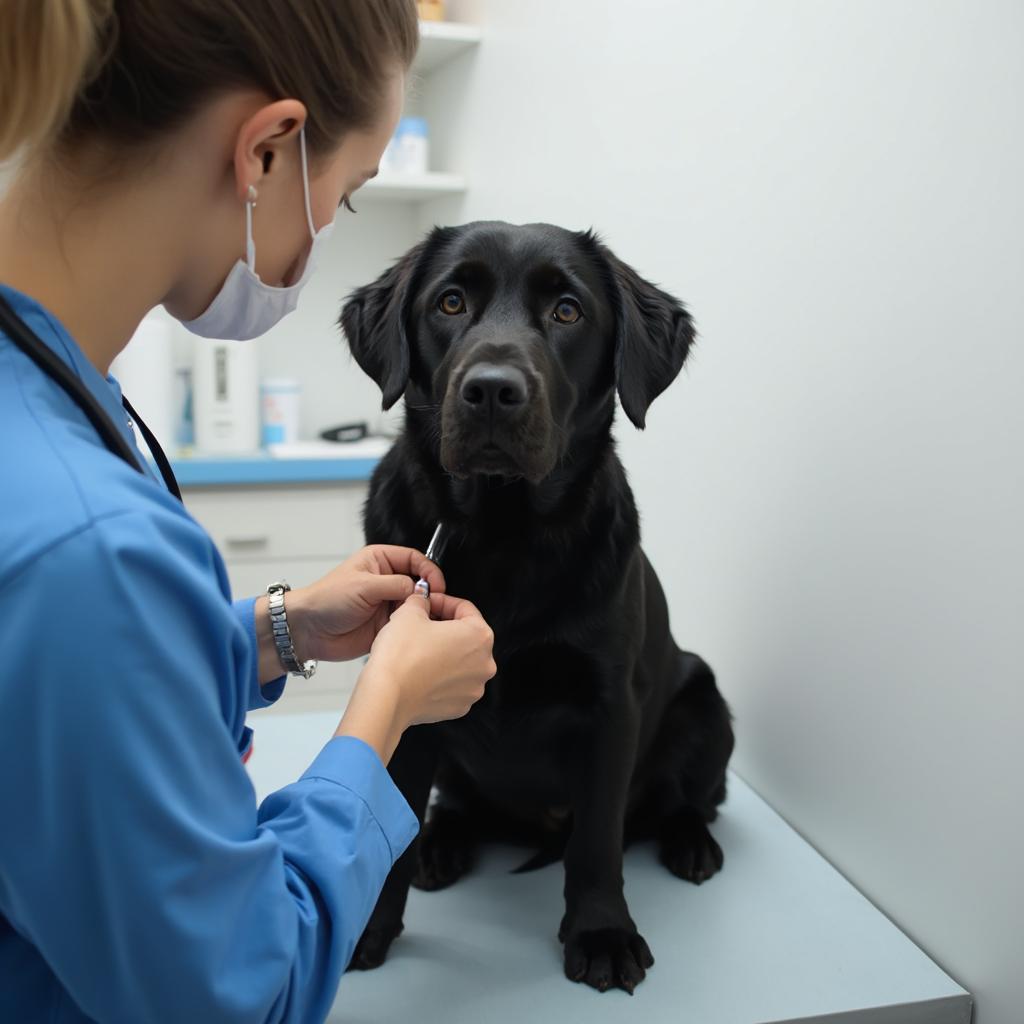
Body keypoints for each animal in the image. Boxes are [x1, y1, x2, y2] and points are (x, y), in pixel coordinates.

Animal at [339, 218, 733, 991]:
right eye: (451, 301)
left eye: (568, 311)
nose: (492, 391)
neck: (505, 533)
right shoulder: (407, 699)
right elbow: (389, 820)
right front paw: (369, 926)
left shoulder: (611, 705)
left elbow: (598, 839)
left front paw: (602, 932)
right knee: (456, 807)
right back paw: (441, 845)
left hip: (707, 705)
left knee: (681, 803)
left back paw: (690, 844)